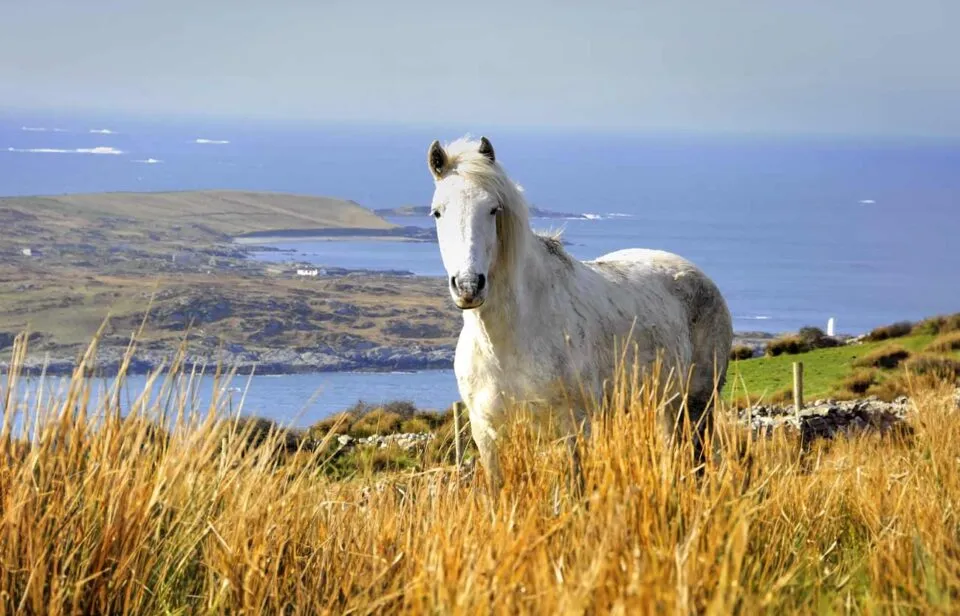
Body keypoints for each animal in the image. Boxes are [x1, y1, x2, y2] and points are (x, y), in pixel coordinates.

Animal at [426, 135, 734, 495]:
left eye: (492, 209)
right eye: (437, 212)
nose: (468, 286)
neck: (507, 340)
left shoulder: (575, 429)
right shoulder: (487, 435)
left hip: (697, 404)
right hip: (664, 408)